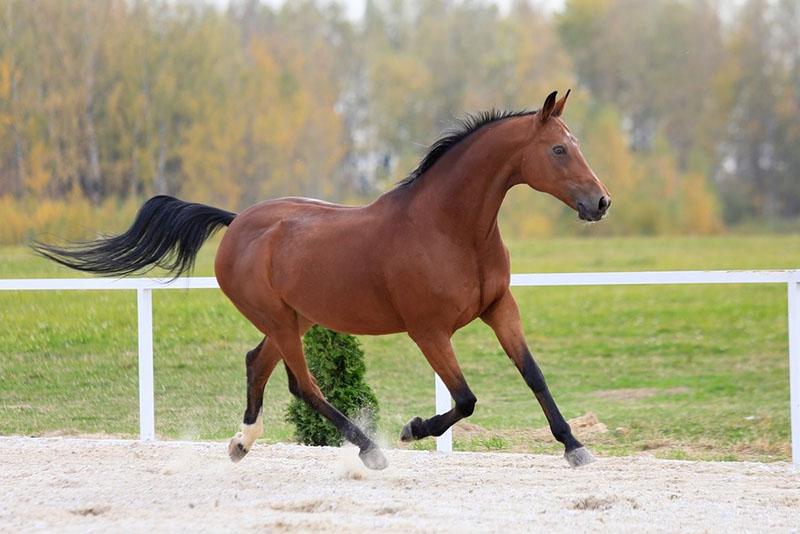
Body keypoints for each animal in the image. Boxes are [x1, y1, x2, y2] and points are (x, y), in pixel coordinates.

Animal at [34, 91, 608, 468]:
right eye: (559, 150)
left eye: (575, 143)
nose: (600, 202)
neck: (451, 228)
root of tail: (237, 222)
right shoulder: (429, 330)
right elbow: (465, 398)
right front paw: (412, 429)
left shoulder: (500, 308)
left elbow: (533, 374)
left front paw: (575, 446)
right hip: (282, 321)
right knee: (302, 383)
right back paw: (370, 449)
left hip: (294, 318)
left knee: (258, 363)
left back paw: (242, 443)